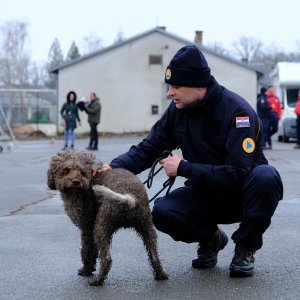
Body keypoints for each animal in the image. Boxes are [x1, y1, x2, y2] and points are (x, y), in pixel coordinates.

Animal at [47, 150, 169, 286]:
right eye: (66, 170)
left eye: (82, 172)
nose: (76, 182)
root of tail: (129, 198)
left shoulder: (87, 229)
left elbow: (86, 251)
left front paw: (86, 270)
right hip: (147, 228)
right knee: (154, 256)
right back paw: (160, 274)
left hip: (101, 227)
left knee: (107, 259)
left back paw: (97, 280)